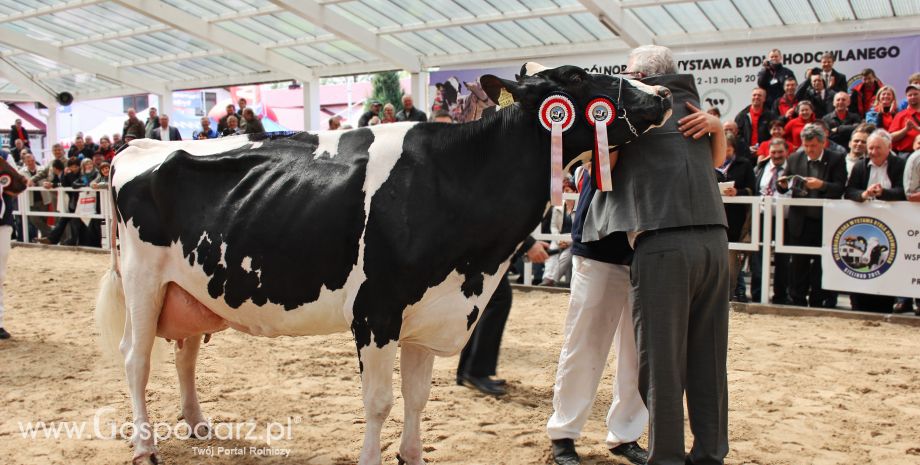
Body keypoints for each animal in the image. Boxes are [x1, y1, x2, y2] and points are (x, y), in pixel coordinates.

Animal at [97, 64, 672, 464]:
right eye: (575, 77)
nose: (664, 94)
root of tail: (137, 145)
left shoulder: (432, 312)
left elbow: (417, 399)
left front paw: (411, 455)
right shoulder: (376, 312)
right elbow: (379, 402)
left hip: (191, 285)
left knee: (185, 353)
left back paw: (197, 424)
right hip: (144, 281)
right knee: (135, 359)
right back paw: (144, 445)